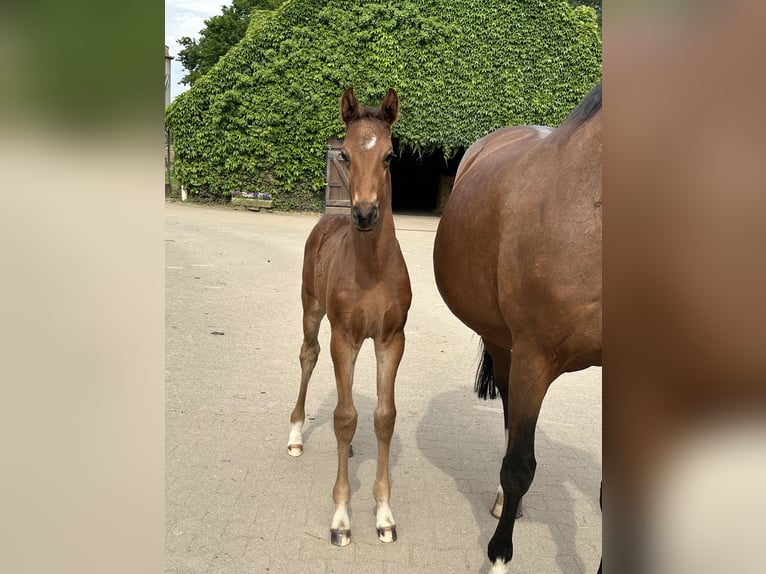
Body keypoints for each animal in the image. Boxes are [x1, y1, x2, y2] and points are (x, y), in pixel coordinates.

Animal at [286, 89, 414, 548]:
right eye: (343, 153)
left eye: (391, 156)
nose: (364, 214)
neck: (372, 269)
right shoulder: (343, 335)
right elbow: (344, 417)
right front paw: (341, 517)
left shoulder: (391, 338)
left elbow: (382, 417)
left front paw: (384, 514)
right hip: (311, 310)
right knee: (308, 355)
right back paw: (295, 435)